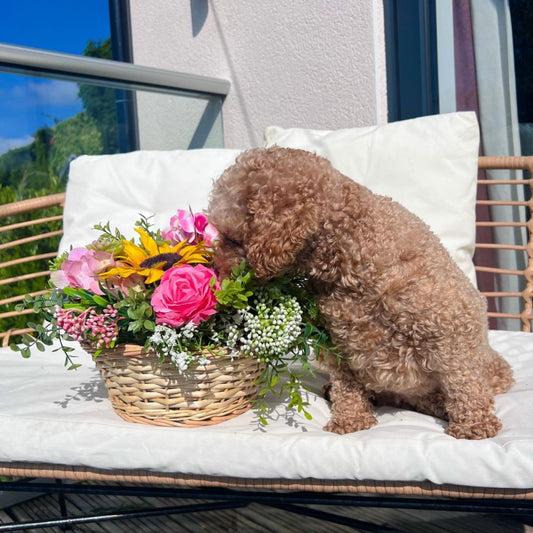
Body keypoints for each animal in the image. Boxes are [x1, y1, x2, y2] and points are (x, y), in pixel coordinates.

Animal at [206, 145, 512, 436]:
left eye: (232, 239)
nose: (218, 274)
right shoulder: (337, 343)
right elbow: (347, 385)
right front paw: (350, 421)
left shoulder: (451, 323)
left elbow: (463, 380)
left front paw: (474, 424)